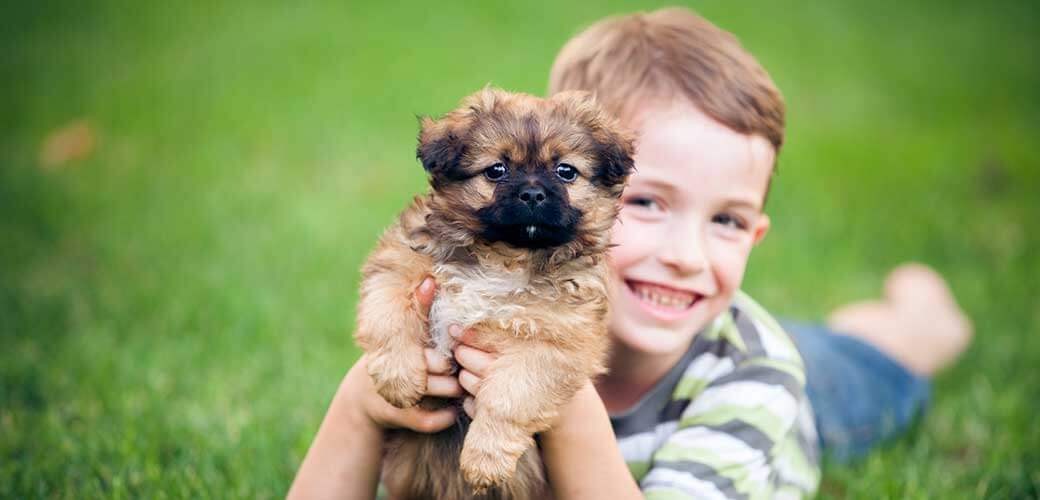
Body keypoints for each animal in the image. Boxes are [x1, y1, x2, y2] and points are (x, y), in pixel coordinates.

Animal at [355, 87, 632, 496]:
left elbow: (509, 397)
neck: (506, 256)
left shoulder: (551, 344)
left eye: (565, 171)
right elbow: (389, 316)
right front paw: (398, 379)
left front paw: (484, 459)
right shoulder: (399, 263)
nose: (532, 194)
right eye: (496, 170)